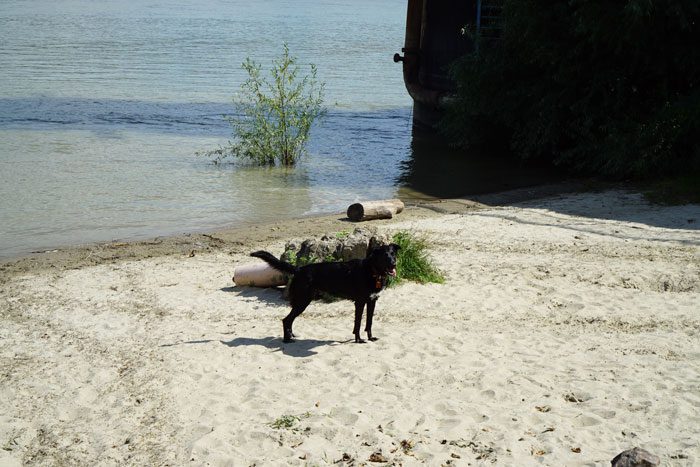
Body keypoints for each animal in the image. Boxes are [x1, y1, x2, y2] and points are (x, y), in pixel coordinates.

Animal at [250, 245, 400, 344]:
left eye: (393, 254)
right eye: (384, 256)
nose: (394, 264)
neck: (372, 271)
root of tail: (298, 269)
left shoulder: (372, 300)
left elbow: (369, 323)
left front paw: (370, 337)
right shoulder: (360, 302)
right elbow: (357, 323)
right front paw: (358, 339)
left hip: (302, 301)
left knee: (290, 320)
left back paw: (291, 335)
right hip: (303, 301)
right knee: (286, 319)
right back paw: (287, 340)